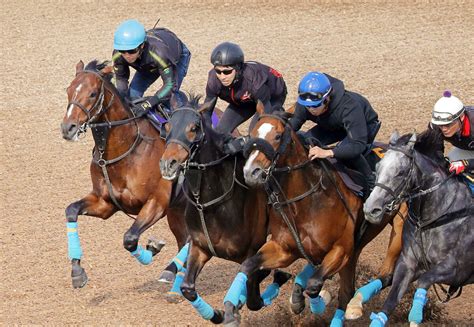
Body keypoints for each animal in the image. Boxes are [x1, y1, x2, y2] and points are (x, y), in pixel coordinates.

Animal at [60, 60, 189, 290]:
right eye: (68, 90)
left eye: (92, 94)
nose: (68, 128)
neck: (126, 150)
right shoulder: (105, 203)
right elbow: (71, 210)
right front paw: (77, 272)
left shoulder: (157, 202)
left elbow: (129, 238)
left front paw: (153, 247)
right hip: (177, 211)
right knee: (186, 239)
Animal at [159, 97, 292, 326]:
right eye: (167, 126)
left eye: (194, 128)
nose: (168, 164)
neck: (210, 203)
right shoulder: (200, 246)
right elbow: (188, 288)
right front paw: (218, 314)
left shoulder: (250, 251)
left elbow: (254, 298)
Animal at [225, 102, 408, 326]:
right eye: (251, 135)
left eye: (277, 136)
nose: (252, 172)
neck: (305, 201)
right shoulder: (284, 249)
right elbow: (248, 265)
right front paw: (235, 309)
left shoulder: (341, 250)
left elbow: (313, 285)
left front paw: (314, 301)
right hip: (354, 249)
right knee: (346, 289)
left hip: (399, 226)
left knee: (385, 276)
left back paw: (355, 304)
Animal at [364, 129, 472, 326]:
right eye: (378, 167)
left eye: (400, 172)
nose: (370, 209)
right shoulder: (409, 262)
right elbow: (390, 296)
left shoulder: (456, 270)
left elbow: (423, 281)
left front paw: (415, 316)